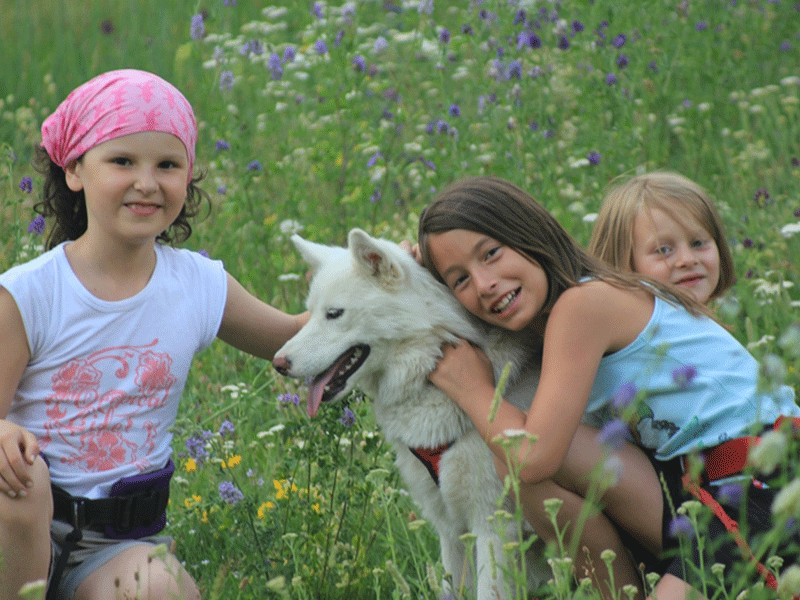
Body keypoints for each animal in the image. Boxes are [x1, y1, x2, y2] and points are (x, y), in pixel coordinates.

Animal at [272, 227, 548, 596]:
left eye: (334, 313)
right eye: (310, 313)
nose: (278, 363)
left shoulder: (492, 526)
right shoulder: (451, 530)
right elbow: (448, 588)